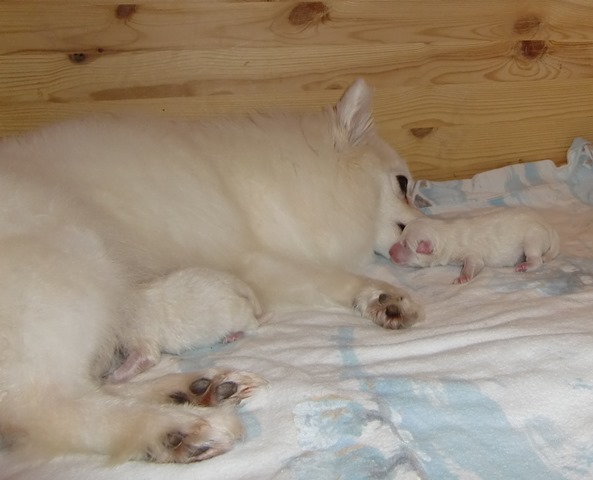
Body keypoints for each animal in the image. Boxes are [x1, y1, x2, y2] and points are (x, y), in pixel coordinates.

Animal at [0, 79, 424, 463]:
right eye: (403, 185)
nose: (421, 230)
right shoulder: (254, 262)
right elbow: (332, 278)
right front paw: (386, 295)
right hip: (78, 263)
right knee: (48, 406)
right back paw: (178, 428)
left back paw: (192, 390)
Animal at [389, 207, 560, 284]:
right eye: (401, 235)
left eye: (405, 245)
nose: (390, 251)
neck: (444, 232)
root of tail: (549, 227)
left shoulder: (472, 254)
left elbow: (474, 264)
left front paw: (463, 277)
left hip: (533, 238)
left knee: (537, 260)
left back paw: (525, 265)